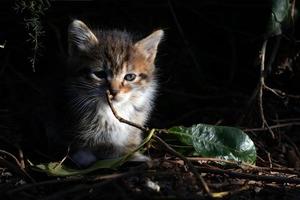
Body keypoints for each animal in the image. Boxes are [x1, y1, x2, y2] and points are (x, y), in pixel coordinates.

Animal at [62, 19, 164, 167]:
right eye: (100, 74)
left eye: (130, 77)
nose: (114, 92)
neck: (113, 111)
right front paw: (85, 156)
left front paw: (132, 154)